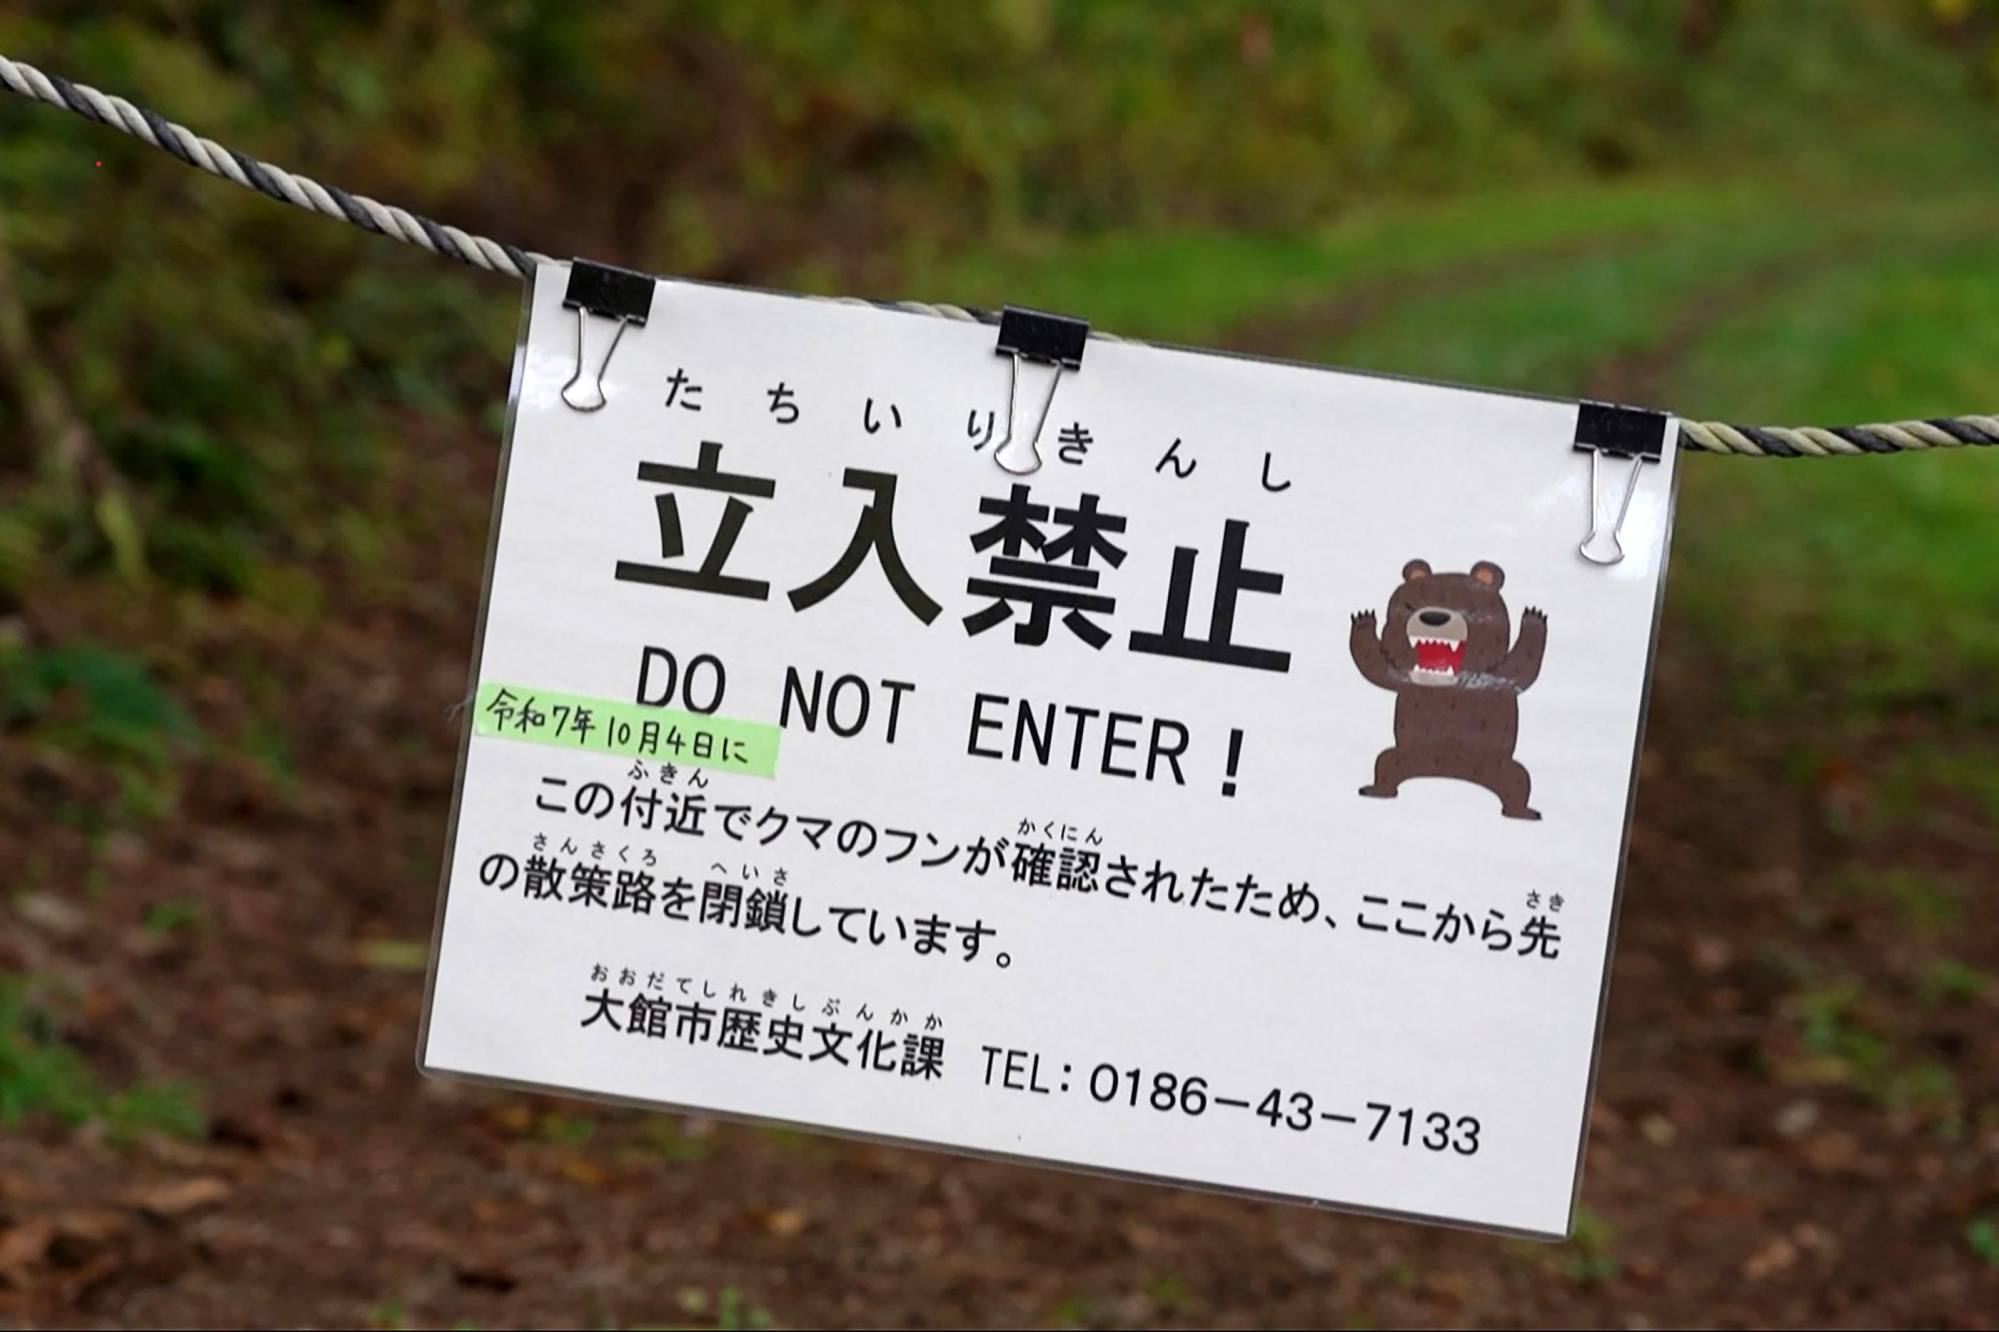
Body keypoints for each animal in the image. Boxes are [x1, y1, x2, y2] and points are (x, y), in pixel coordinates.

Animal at [1348, 558, 1548, 819]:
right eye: (1410, 604)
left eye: (1470, 608)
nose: (1434, 616)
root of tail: (1447, 768)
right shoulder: (1403, 678)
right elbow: (1378, 668)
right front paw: (1363, 621)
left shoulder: (1495, 680)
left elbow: (1519, 671)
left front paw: (1534, 619)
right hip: (1407, 755)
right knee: (1386, 763)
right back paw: (1377, 789)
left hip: (1496, 764)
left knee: (1518, 780)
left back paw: (1521, 811)